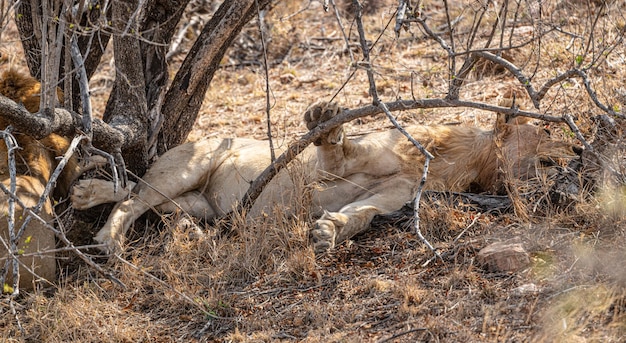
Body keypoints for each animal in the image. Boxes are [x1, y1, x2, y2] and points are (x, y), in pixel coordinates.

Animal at [69, 102, 580, 255]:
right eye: (547, 133)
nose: (578, 152)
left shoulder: (393, 197)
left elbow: (361, 214)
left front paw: (327, 232)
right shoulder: (329, 168)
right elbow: (337, 146)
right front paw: (324, 119)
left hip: (201, 200)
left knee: (149, 198)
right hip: (192, 163)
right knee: (133, 196)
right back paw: (106, 235)